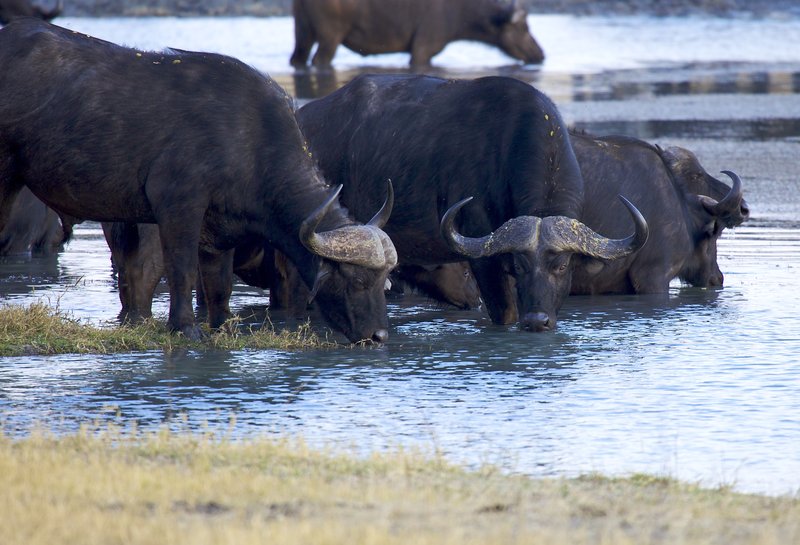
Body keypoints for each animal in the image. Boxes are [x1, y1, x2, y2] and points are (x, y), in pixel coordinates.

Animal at [0, 20, 397, 343]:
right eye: (356, 281)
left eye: (385, 282)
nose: (378, 336)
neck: (248, 139)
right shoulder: (178, 206)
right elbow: (182, 269)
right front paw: (185, 327)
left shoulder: (220, 230)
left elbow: (219, 286)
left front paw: (222, 325)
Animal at [290, 0, 545, 69]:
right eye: (524, 28)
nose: (540, 54)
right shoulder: (424, 46)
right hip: (330, 35)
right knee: (319, 61)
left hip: (302, 30)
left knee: (298, 59)